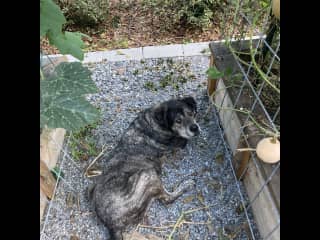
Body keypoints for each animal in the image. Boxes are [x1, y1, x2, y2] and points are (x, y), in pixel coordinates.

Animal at [87, 96, 200, 239]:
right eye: (178, 121)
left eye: (191, 113)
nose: (195, 128)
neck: (153, 120)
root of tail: (112, 224)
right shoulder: (179, 142)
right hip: (147, 174)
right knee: (167, 199)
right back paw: (186, 184)